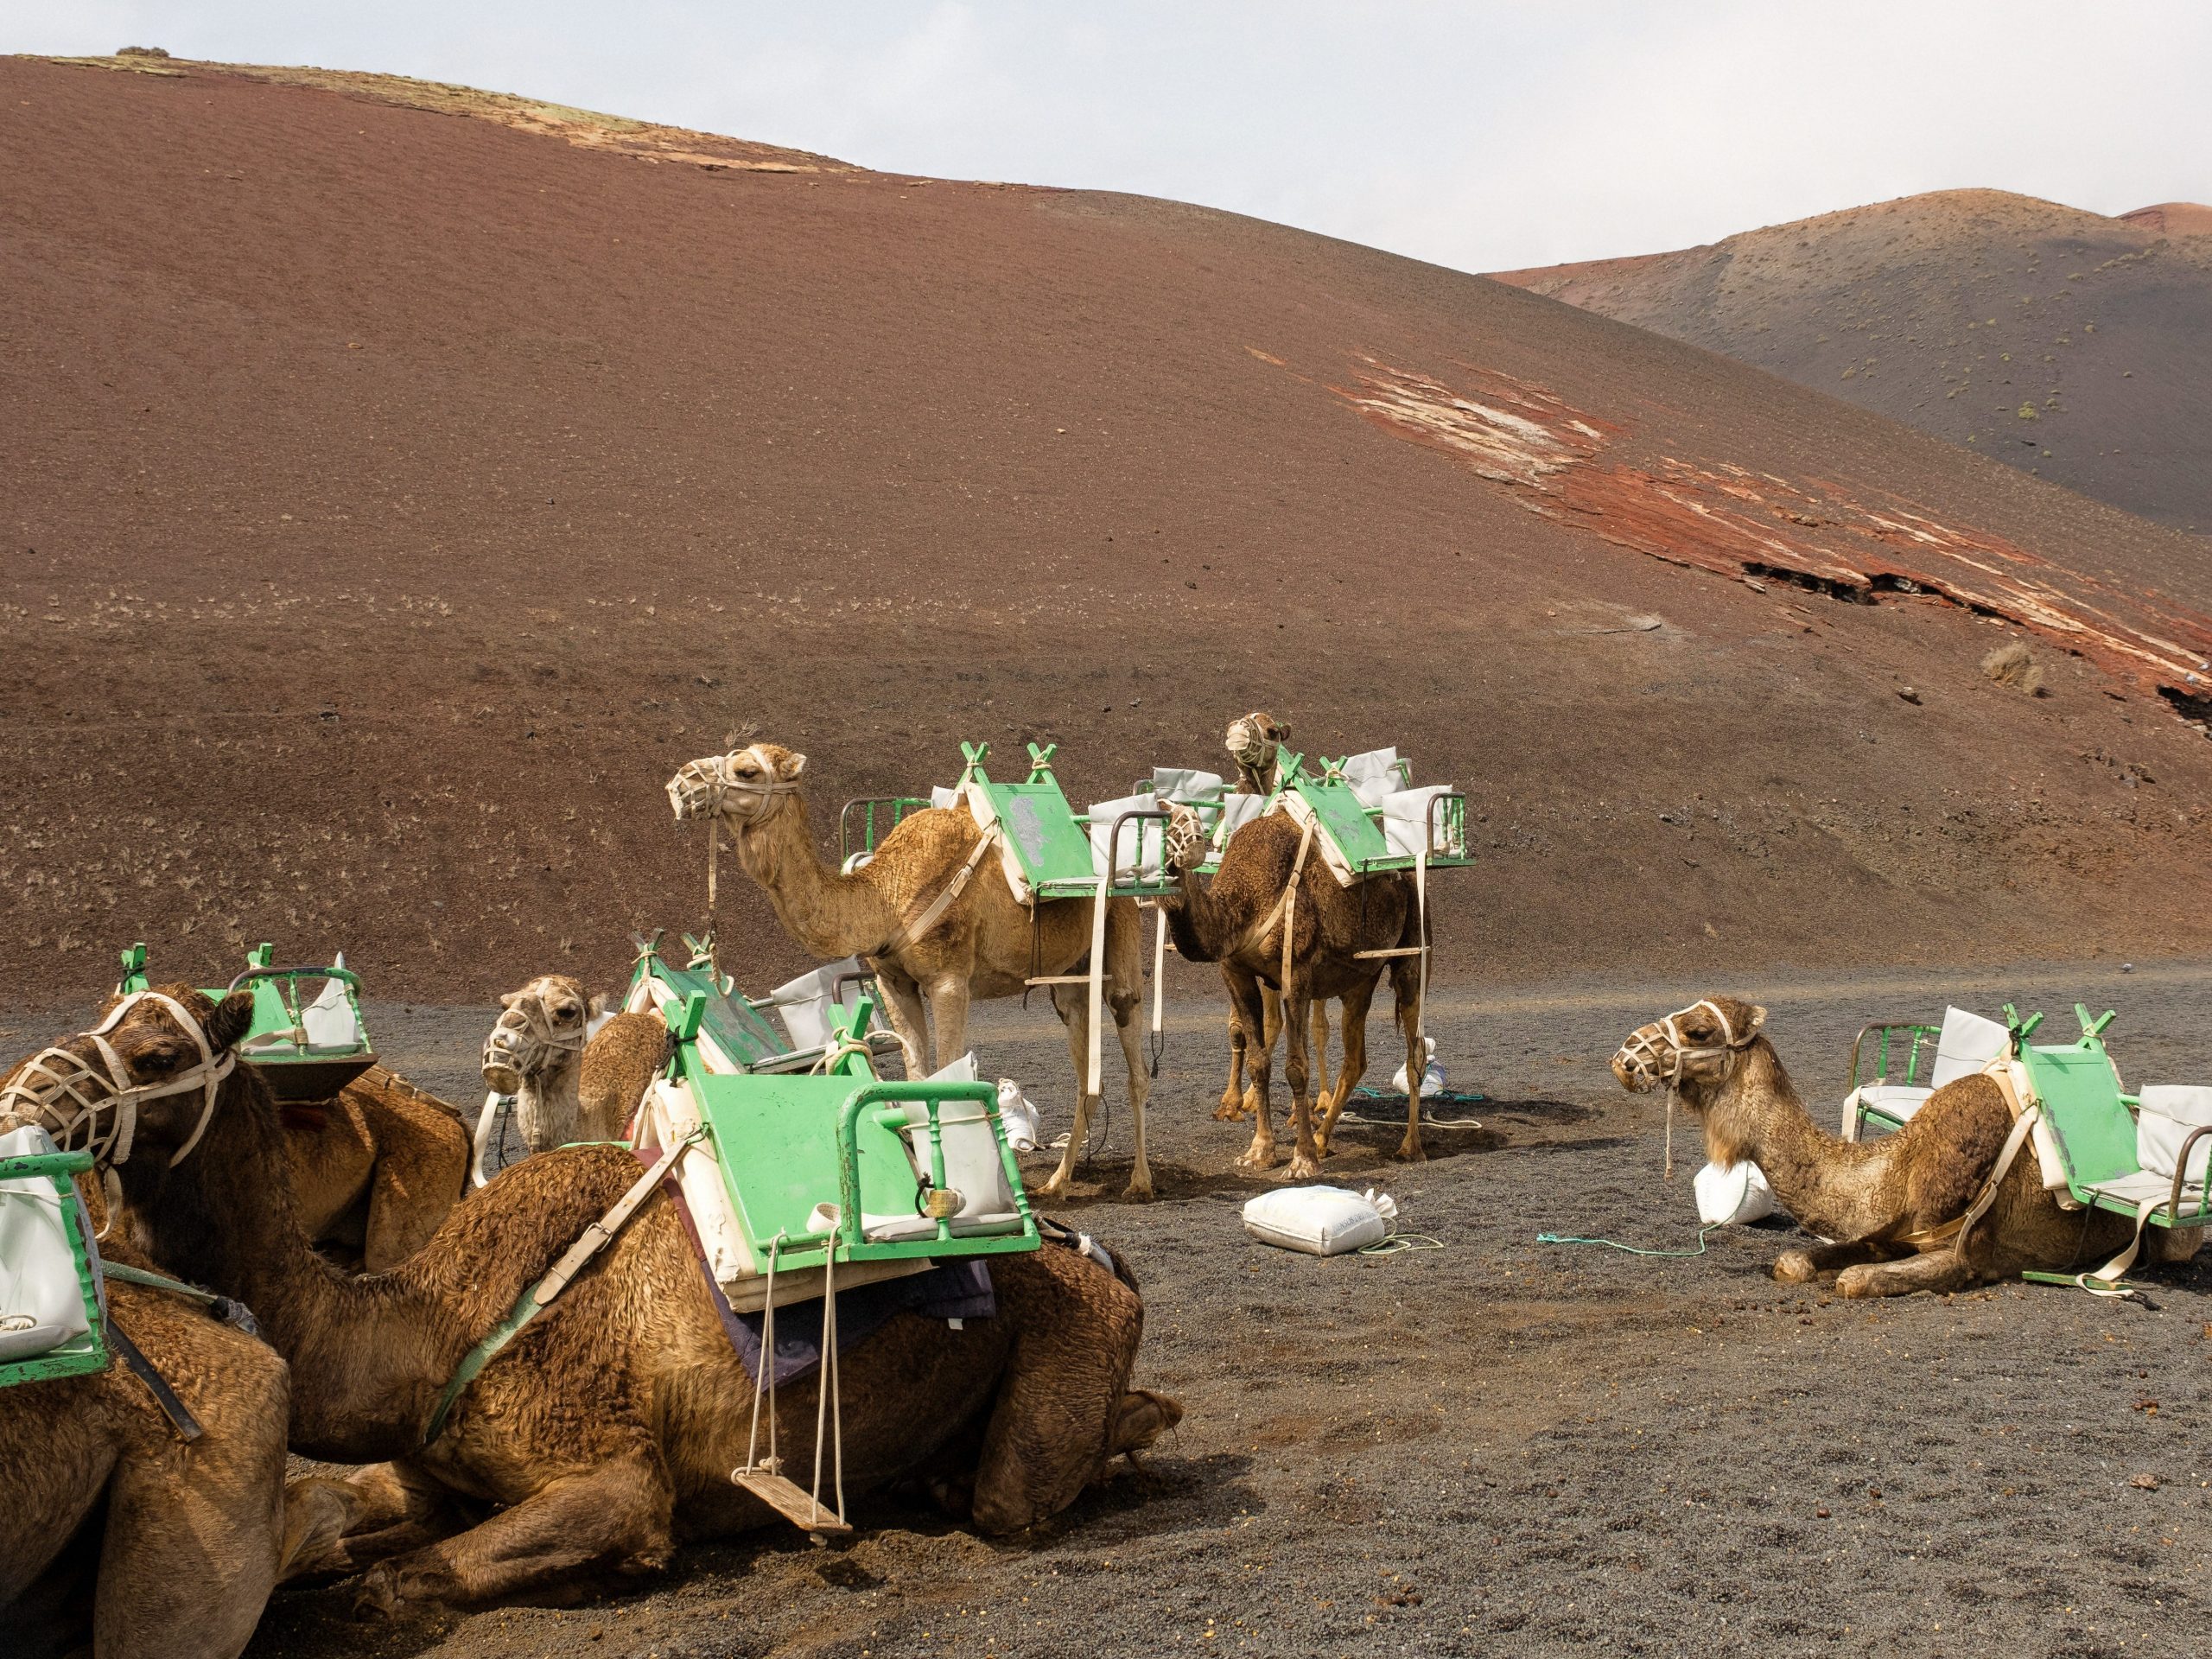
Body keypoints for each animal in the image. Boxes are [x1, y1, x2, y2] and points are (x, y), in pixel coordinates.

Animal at [664, 747, 1159, 1203]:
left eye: (747, 770)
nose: (682, 784)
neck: (886, 895)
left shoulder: (949, 980)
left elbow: (950, 1076)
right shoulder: (893, 982)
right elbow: (917, 1078)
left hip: (1120, 928)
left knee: (1134, 1050)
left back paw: (1140, 1181)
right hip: (1069, 978)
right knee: (1084, 1070)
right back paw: (1057, 1181)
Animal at [1150, 800, 1424, 1176]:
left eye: (1186, 827)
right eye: (1160, 828)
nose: (1169, 861)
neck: (1245, 900)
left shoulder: (1297, 973)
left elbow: (1296, 1067)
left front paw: (1302, 1159)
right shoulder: (1235, 972)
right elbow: (1258, 1061)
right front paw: (1260, 1151)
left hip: (1411, 952)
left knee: (1414, 1050)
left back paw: (1410, 1146)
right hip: (1359, 978)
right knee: (1356, 1058)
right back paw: (1324, 1140)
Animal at [1601, 1000, 2202, 1300]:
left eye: (1700, 1031)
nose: (1625, 1057)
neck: (1899, 1168)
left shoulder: (1971, 1255)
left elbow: (1855, 1281)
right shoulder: (1887, 1230)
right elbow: (1798, 1261)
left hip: (2178, 1234)